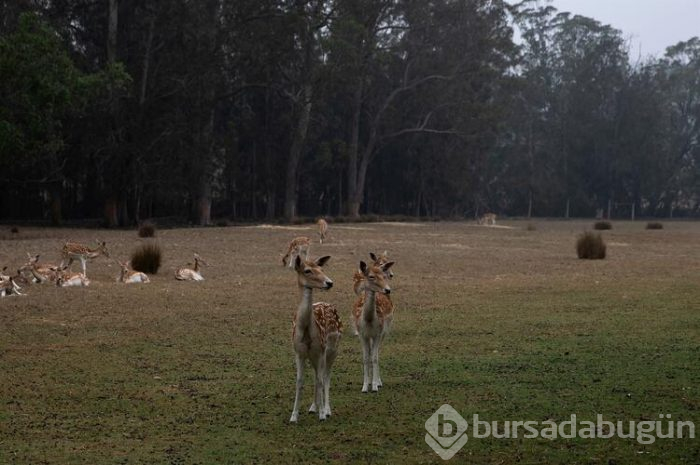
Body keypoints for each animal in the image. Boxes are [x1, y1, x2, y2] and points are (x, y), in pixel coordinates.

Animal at [290, 254, 342, 420]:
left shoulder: (321, 350)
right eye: (307, 270)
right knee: (316, 375)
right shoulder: (299, 352)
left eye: (322, 269)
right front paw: (294, 416)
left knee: (325, 376)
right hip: (314, 355)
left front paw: (322, 414)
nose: (329, 283)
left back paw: (326, 409)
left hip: (333, 349)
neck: (306, 331)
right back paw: (313, 407)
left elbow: (321, 380)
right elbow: (299, 381)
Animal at [356, 258, 394, 392]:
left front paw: (374, 386)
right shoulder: (361, 334)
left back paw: (378, 382)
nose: (388, 289)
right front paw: (364, 387)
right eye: (371, 276)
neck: (368, 321)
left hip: (385, 330)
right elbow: (366, 358)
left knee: (376, 352)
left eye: (383, 276)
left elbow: (375, 357)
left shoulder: (378, 333)